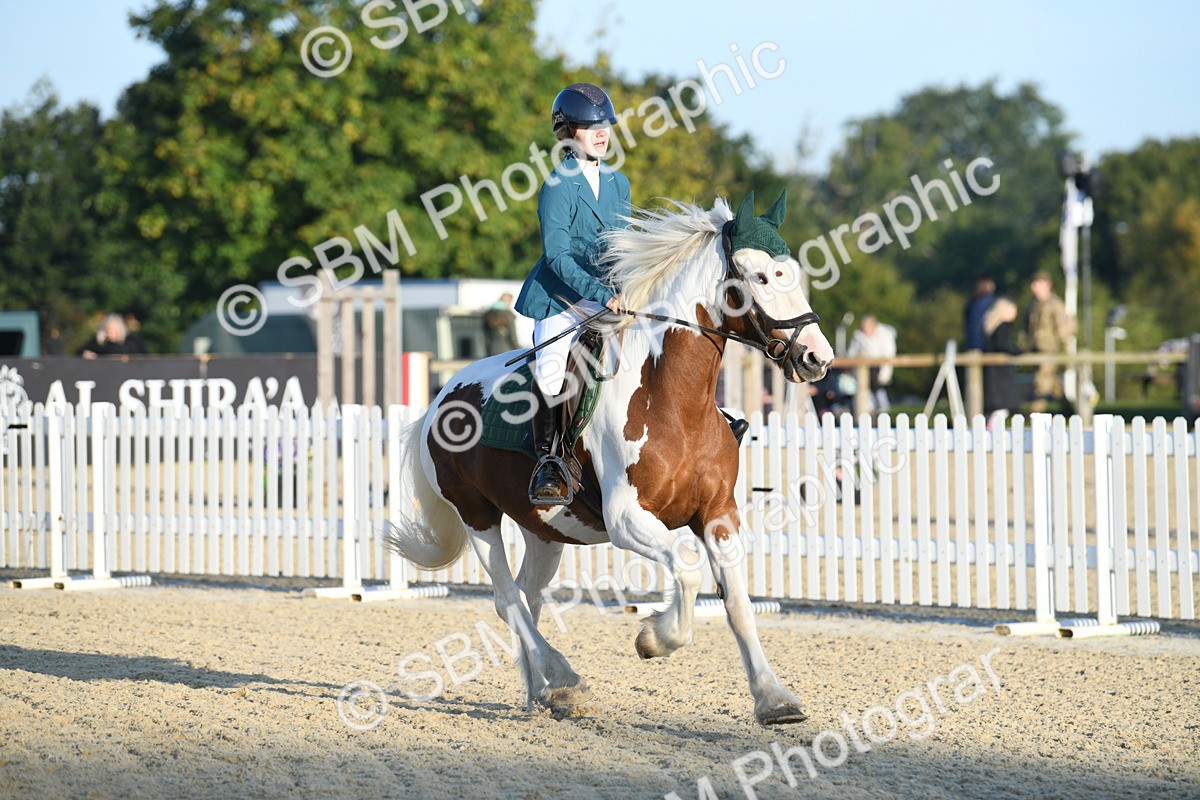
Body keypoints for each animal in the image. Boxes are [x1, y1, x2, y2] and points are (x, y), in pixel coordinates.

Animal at [387, 191, 835, 725]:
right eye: (761, 277)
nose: (817, 357)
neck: (674, 400)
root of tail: (442, 396)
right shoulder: (627, 519)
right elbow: (686, 569)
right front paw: (655, 638)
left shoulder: (718, 515)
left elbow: (739, 606)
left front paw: (774, 699)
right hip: (477, 515)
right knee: (507, 598)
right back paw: (564, 678)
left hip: (543, 528)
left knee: (527, 595)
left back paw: (542, 691)